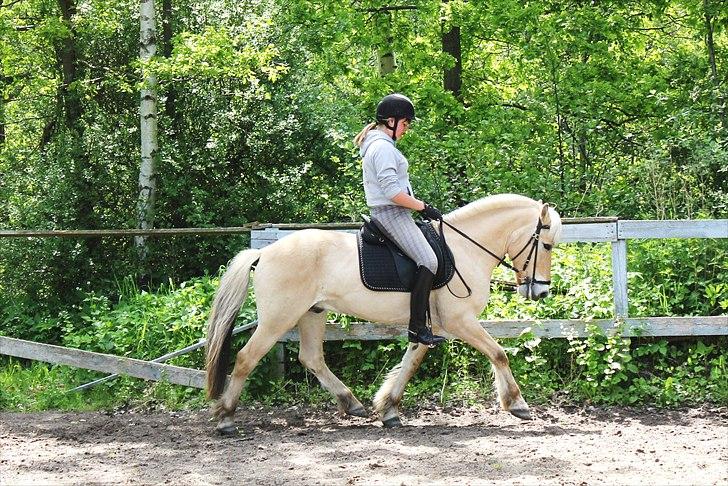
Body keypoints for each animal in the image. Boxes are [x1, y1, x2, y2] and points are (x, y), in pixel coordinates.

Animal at [205, 193, 564, 432]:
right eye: (546, 245)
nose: (541, 291)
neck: (464, 249)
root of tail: (264, 251)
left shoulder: (430, 326)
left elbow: (411, 362)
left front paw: (388, 408)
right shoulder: (460, 321)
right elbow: (498, 353)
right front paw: (517, 403)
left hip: (312, 313)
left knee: (312, 358)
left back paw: (352, 404)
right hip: (279, 318)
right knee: (246, 359)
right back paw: (225, 418)